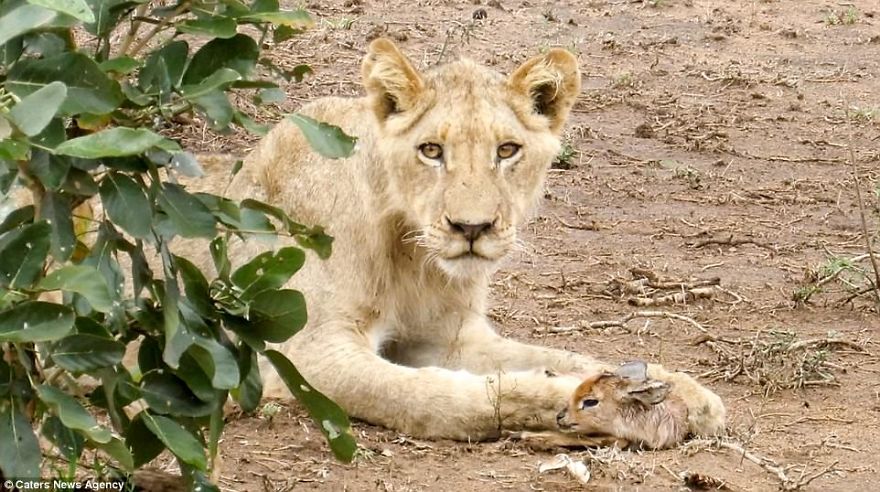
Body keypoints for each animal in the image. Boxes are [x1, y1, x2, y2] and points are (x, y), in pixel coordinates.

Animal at [214, 38, 726, 441]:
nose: (472, 228)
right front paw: (583, 397)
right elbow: (439, 395)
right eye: (431, 150)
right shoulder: (309, 354)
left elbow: (562, 354)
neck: (411, 256)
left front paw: (687, 391)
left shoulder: (452, 337)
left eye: (507, 150)